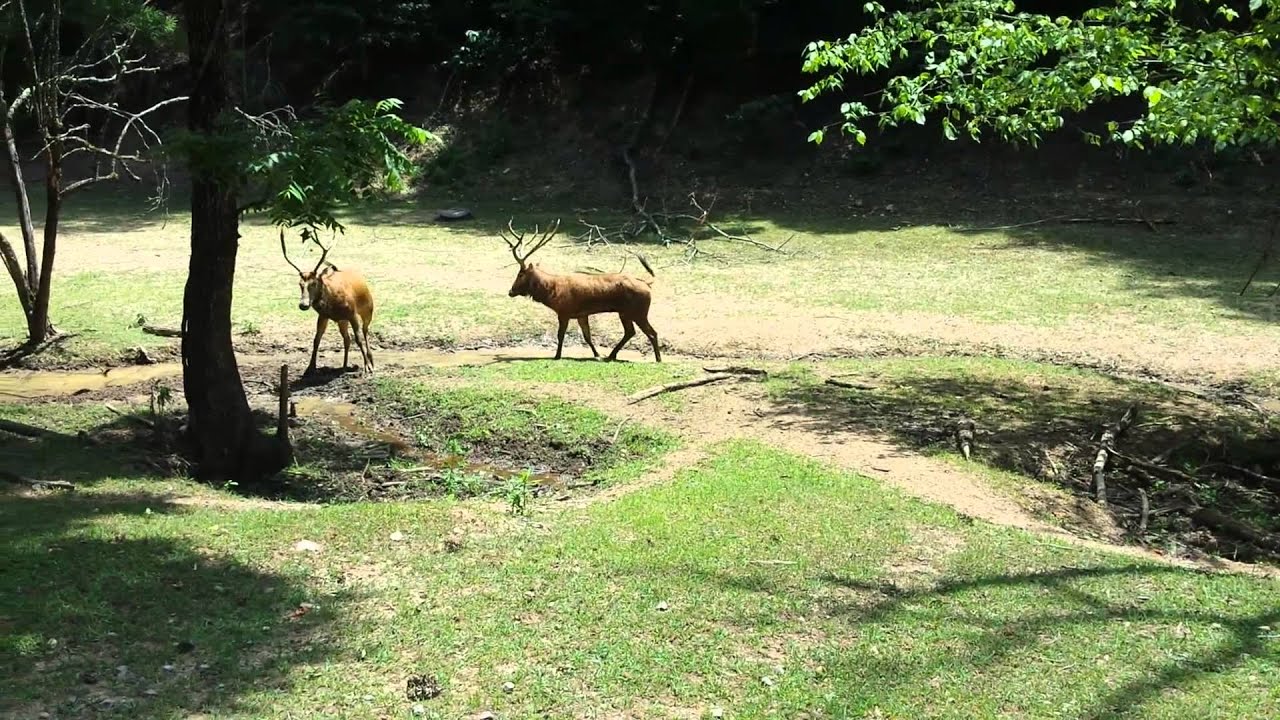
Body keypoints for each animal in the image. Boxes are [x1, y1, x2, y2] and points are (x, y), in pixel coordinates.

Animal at [281, 230, 376, 376]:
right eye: (300, 284)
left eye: (314, 283)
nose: (303, 305)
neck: (333, 304)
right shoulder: (324, 315)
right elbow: (316, 340)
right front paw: (310, 368)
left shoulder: (352, 313)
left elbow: (359, 339)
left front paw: (368, 368)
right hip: (342, 320)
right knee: (347, 339)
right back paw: (344, 366)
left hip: (368, 309)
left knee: (365, 332)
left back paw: (370, 361)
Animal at [501, 218, 661, 362]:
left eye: (520, 274)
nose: (510, 291)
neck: (551, 292)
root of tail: (648, 284)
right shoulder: (581, 314)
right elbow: (587, 336)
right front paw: (597, 355)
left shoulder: (564, 312)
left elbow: (560, 335)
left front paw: (557, 356)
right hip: (624, 312)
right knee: (630, 332)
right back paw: (611, 355)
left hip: (639, 311)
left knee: (651, 332)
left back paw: (658, 359)